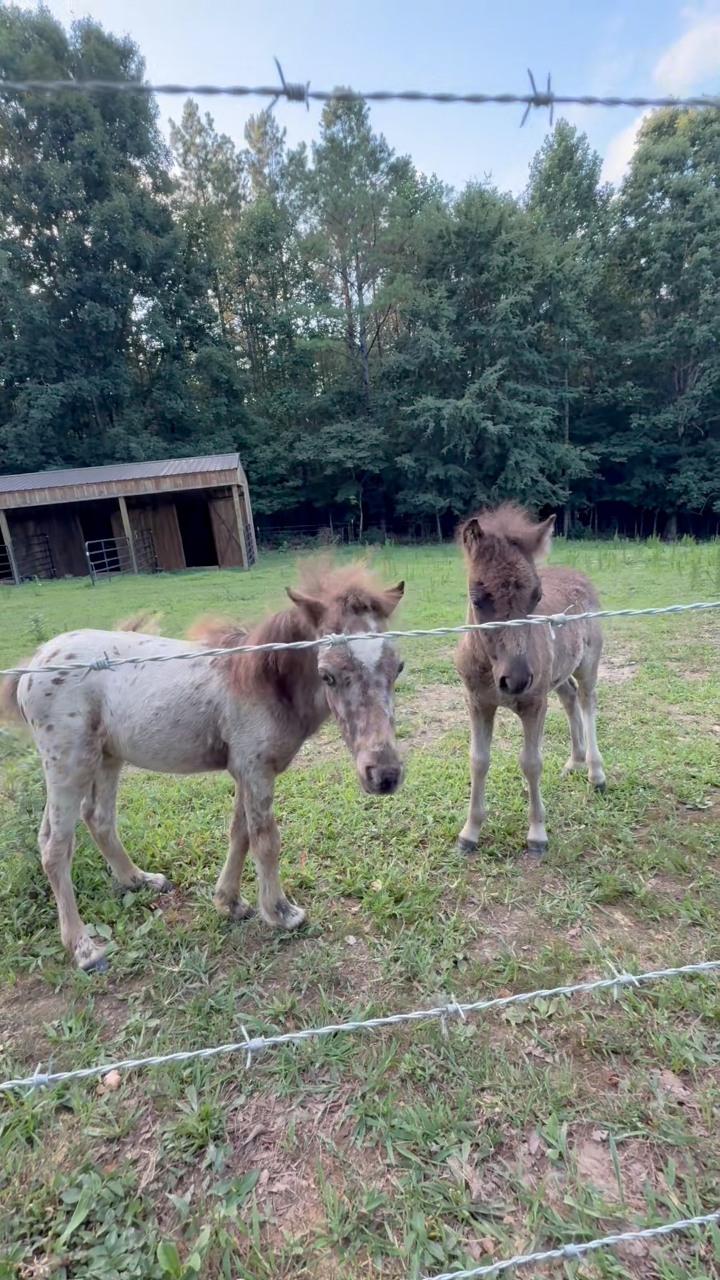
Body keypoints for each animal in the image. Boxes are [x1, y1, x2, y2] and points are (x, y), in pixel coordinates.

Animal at [1, 562, 406, 972]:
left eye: (399, 667)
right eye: (327, 675)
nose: (384, 776)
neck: (265, 682)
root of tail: (34, 662)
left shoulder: (245, 771)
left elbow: (240, 834)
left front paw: (230, 903)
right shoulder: (257, 771)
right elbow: (266, 840)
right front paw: (280, 912)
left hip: (107, 757)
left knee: (98, 819)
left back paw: (139, 880)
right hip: (68, 764)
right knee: (54, 846)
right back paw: (83, 947)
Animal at [455, 504, 606, 860]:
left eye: (537, 595)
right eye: (477, 598)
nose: (517, 679)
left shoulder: (534, 703)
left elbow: (532, 763)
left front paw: (537, 835)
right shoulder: (477, 703)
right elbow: (478, 761)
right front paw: (469, 833)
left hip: (587, 663)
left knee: (588, 702)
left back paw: (595, 773)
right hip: (557, 674)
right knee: (569, 697)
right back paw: (574, 762)